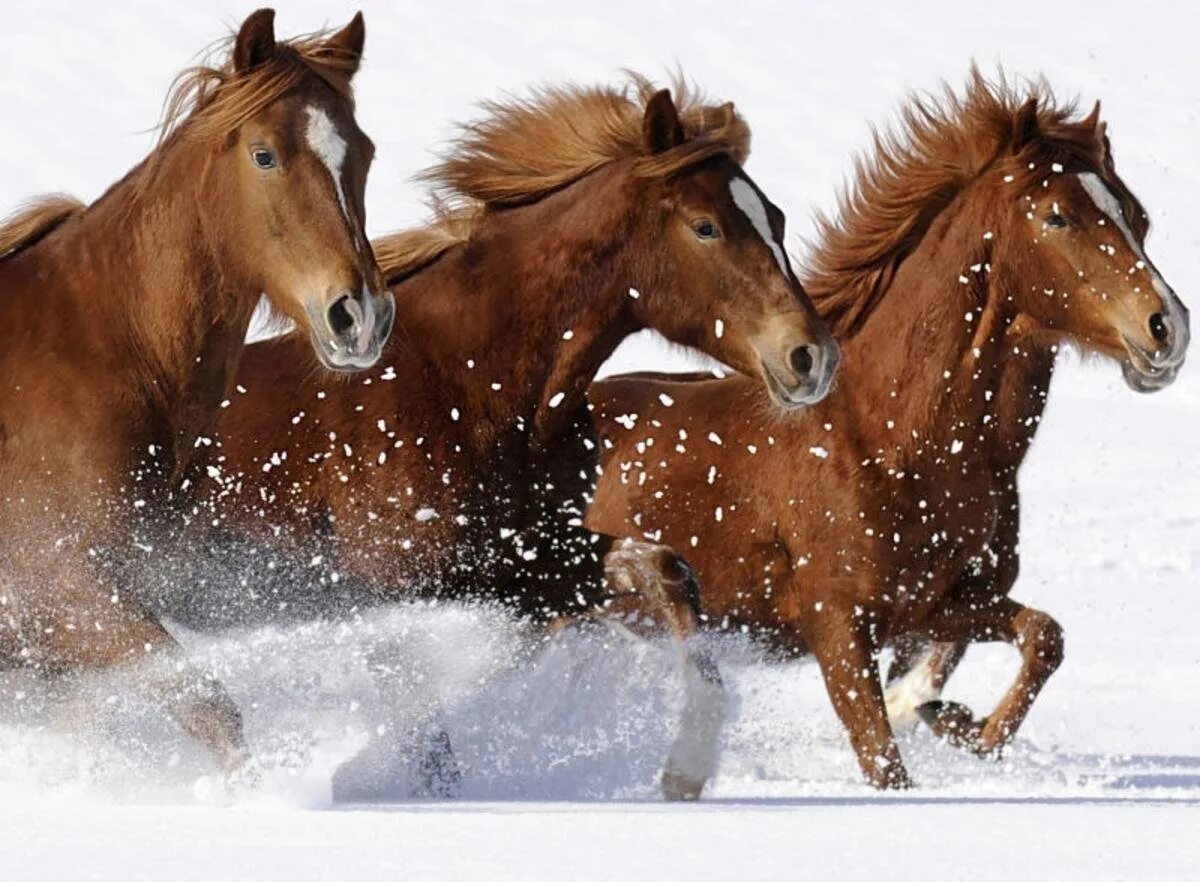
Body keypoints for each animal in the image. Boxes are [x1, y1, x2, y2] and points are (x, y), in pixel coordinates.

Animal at [177, 75, 840, 801]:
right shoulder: (389, 590)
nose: (811, 356)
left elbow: (667, 571)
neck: (472, 387)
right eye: (706, 226)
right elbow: (430, 744)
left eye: (776, 219)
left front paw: (685, 770)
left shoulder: (516, 568)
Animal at [585, 75, 1185, 792]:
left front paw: (955, 720)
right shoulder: (839, 628)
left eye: (1137, 217)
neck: (898, 438)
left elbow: (1044, 637)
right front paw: (929, 717)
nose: (1167, 329)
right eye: (1056, 217)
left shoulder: (933, 604)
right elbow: (885, 763)